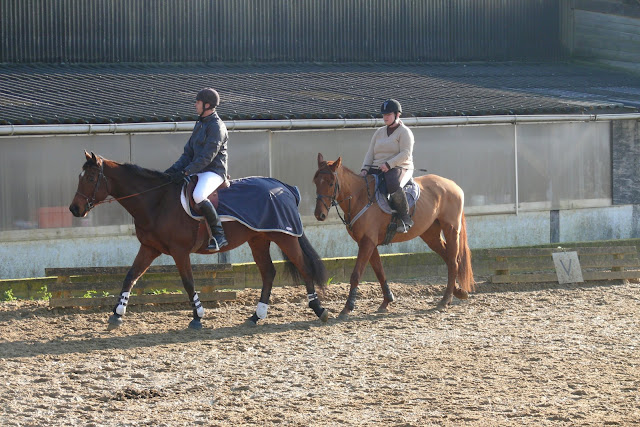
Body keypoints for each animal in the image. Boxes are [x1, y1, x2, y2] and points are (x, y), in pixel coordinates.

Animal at [69, 151, 329, 330]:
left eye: (90, 178)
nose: (74, 209)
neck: (157, 201)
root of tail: (283, 187)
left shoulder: (179, 251)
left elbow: (188, 283)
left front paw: (198, 316)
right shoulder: (150, 248)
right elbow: (130, 276)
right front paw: (117, 314)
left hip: (285, 237)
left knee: (304, 267)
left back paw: (319, 309)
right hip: (258, 239)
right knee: (268, 273)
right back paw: (256, 316)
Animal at [313, 153, 474, 316]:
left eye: (331, 183)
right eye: (316, 181)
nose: (319, 214)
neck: (360, 197)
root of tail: (453, 185)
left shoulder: (367, 243)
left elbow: (356, 274)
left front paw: (347, 307)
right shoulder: (369, 243)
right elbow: (380, 271)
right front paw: (387, 301)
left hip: (451, 229)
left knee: (453, 261)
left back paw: (445, 300)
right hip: (430, 235)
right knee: (449, 258)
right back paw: (458, 292)